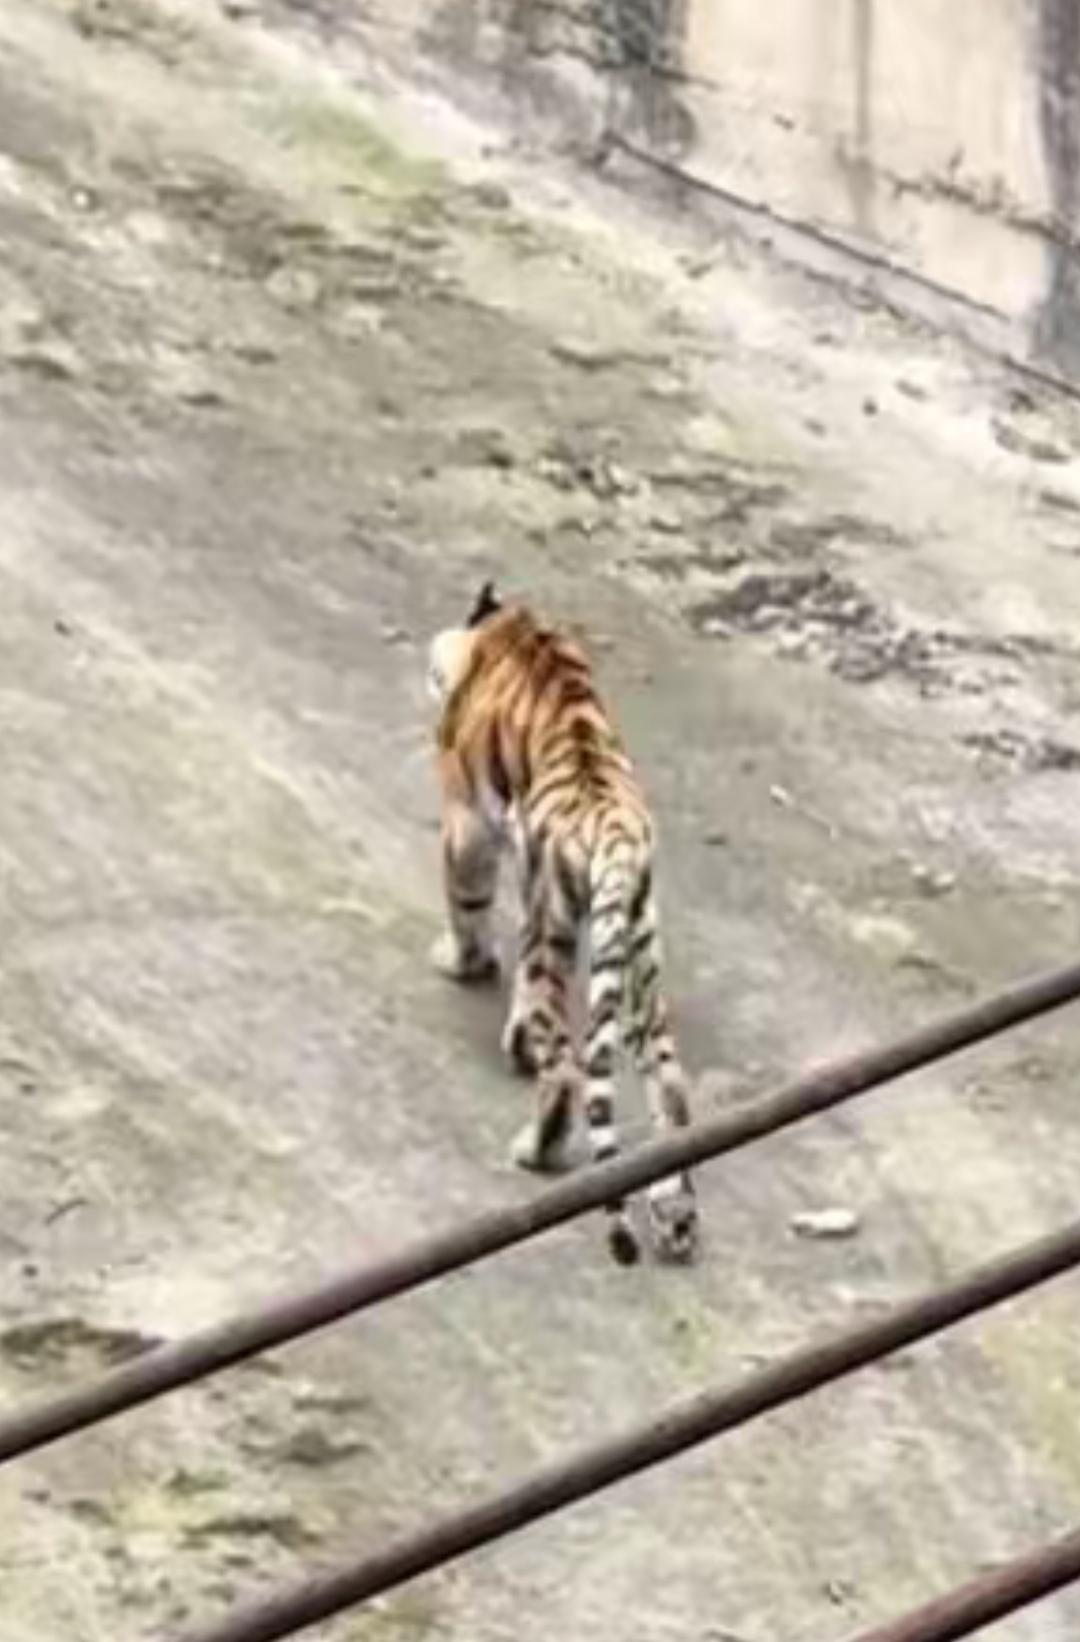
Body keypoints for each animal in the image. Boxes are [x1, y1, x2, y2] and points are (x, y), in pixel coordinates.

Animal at [427, 582, 698, 1266]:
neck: (520, 630)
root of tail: (620, 839)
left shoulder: (467, 824)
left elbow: (467, 901)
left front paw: (461, 961)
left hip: (556, 934)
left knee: (567, 1071)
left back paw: (534, 1149)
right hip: (639, 958)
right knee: (670, 1086)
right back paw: (676, 1216)